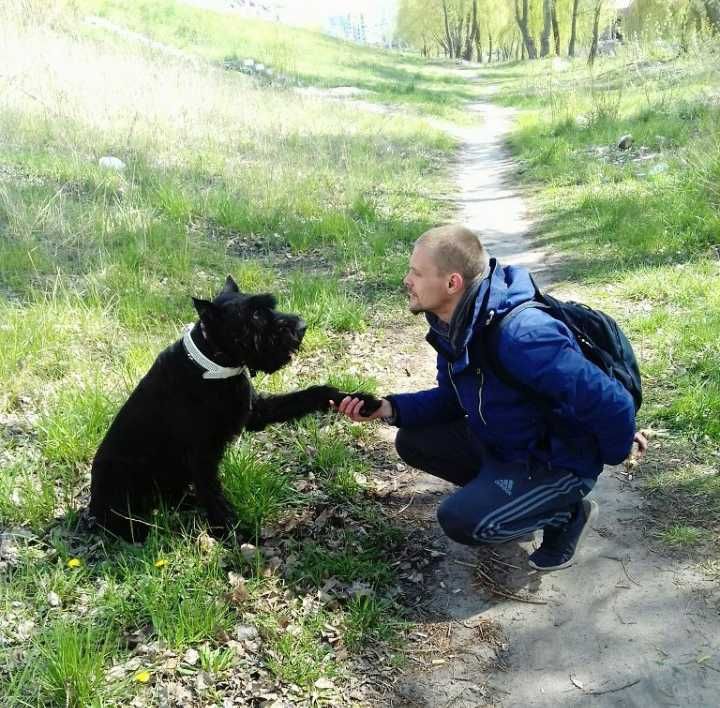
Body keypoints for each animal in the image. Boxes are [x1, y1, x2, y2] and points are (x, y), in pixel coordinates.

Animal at [89, 276, 380, 544]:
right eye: (255, 315)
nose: (301, 326)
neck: (214, 367)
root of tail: (92, 502)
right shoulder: (201, 454)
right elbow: (214, 496)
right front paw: (233, 534)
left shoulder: (257, 412)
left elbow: (311, 394)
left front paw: (360, 400)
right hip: (119, 481)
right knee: (113, 519)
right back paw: (138, 529)